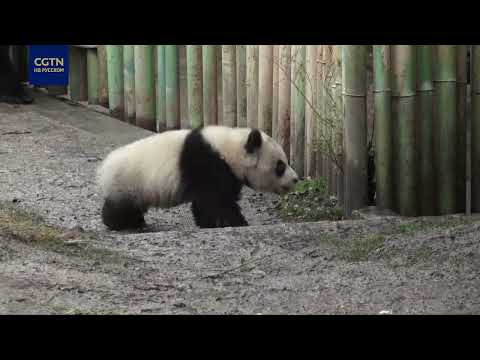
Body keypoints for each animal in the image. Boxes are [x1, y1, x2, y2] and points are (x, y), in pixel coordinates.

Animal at [97, 125, 298, 229]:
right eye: (280, 166)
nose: (296, 179)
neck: (230, 148)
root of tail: (104, 168)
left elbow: (207, 202)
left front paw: (209, 223)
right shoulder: (207, 163)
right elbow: (216, 200)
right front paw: (235, 222)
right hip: (128, 182)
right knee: (120, 207)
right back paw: (125, 224)